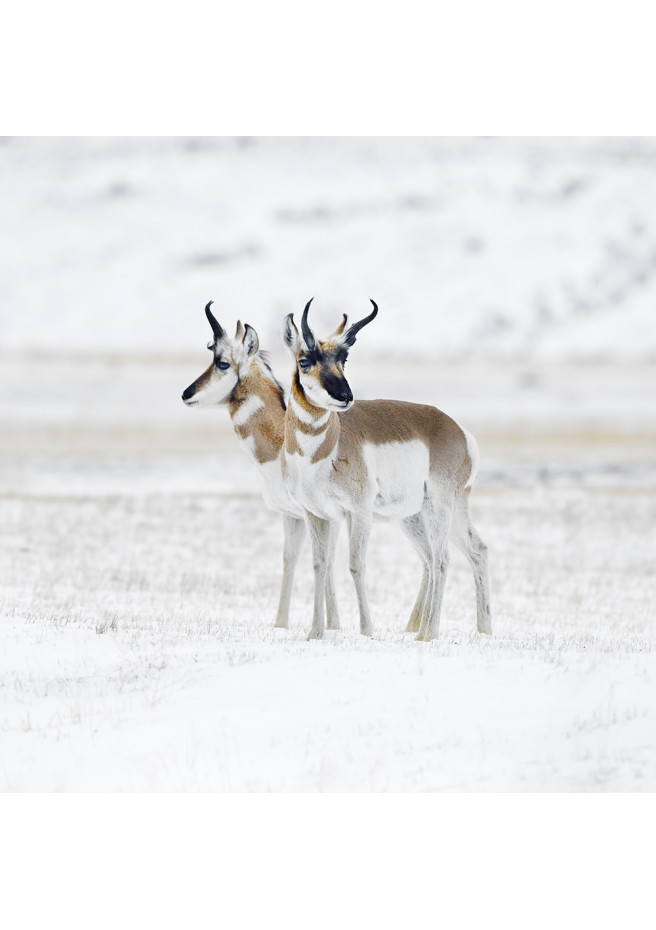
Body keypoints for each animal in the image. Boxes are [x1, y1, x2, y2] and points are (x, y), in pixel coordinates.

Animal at [182, 304, 340, 632]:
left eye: (222, 362)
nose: (186, 394)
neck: (283, 444)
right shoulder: (292, 515)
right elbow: (290, 559)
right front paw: (281, 623)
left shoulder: (326, 516)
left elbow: (327, 562)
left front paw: (332, 626)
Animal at [282, 298, 492, 640]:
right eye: (304, 360)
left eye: (343, 360)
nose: (345, 397)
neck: (321, 448)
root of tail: (457, 430)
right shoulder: (316, 513)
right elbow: (319, 565)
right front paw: (315, 632)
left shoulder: (358, 511)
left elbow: (356, 564)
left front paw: (367, 630)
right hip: (426, 514)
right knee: (473, 550)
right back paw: (482, 630)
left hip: (439, 508)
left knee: (442, 559)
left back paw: (427, 634)